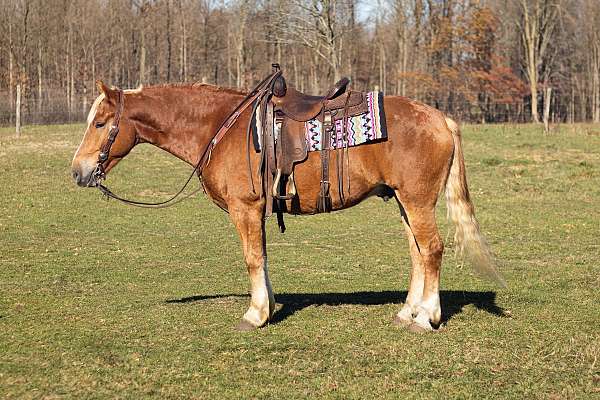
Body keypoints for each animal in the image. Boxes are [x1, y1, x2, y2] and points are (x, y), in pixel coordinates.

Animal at [70, 79, 504, 332]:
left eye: (99, 123)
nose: (77, 171)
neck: (220, 127)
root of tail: (441, 118)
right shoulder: (256, 210)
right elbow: (261, 257)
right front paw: (269, 306)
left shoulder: (244, 207)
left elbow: (252, 258)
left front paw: (255, 314)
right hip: (403, 202)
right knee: (417, 253)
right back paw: (406, 312)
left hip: (417, 201)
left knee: (432, 250)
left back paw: (426, 318)